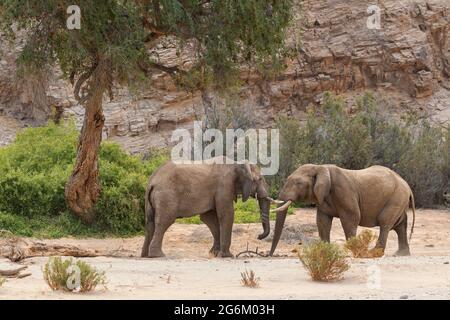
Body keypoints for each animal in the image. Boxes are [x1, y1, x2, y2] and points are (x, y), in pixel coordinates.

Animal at [141, 157, 274, 258]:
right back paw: (158, 255)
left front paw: (214, 254)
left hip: (150, 200)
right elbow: (227, 214)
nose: (259, 236)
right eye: (259, 179)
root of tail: (152, 181)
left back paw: (145, 255)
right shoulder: (224, 186)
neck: (236, 163)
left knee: (150, 222)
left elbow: (209, 218)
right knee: (164, 221)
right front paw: (227, 256)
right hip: (166, 196)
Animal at [268, 165, 416, 258]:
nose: (269, 255)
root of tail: (407, 185)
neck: (321, 167)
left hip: (396, 197)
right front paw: (325, 251)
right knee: (400, 225)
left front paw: (356, 253)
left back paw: (372, 254)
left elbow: (351, 218)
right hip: (399, 199)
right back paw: (400, 254)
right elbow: (322, 221)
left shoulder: (343, 190)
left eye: (298, 183)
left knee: (385, 223)